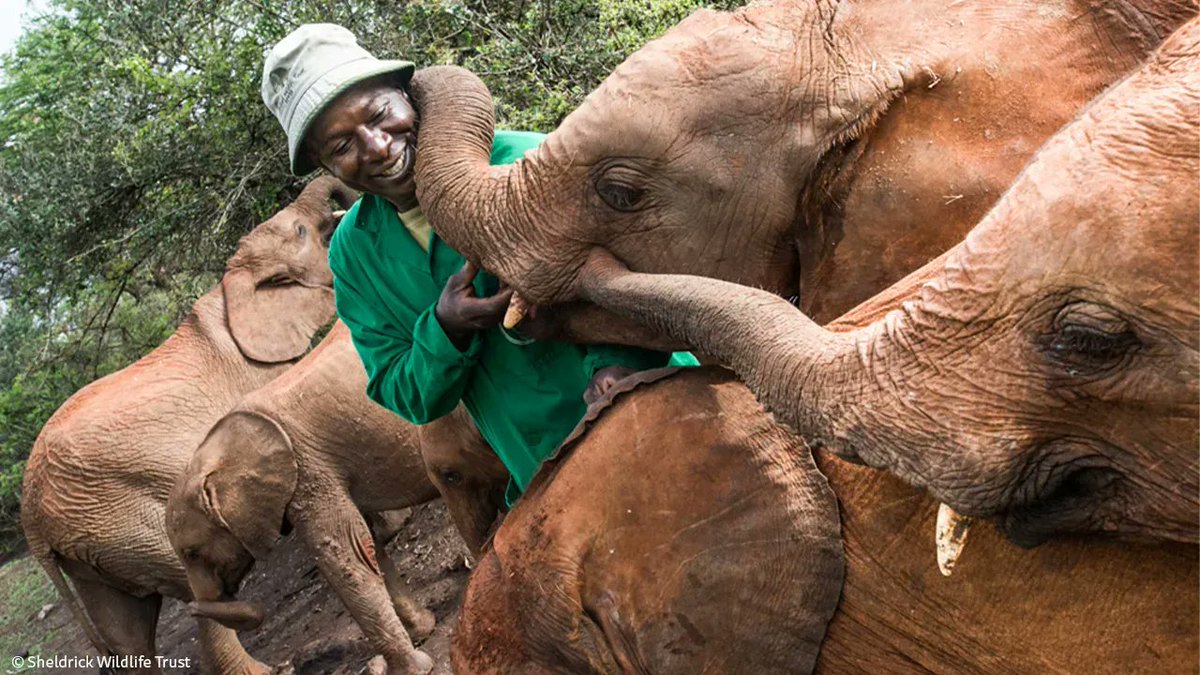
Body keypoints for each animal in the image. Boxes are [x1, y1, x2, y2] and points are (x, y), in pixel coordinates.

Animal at [19, 176, 354, 674]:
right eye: (300, 231)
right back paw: (268, 669)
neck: (230, 286)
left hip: (89, 543)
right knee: (192, 585)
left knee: (127, 628)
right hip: (125, 516)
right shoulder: (265, 373)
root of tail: (29, 520)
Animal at [165, 321, 508, 675]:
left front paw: (413, 668)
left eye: (192, 553)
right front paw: (422, 632)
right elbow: (366, 546)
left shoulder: (308, 471)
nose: (191, 607)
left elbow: (346, 559)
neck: (211, 450)